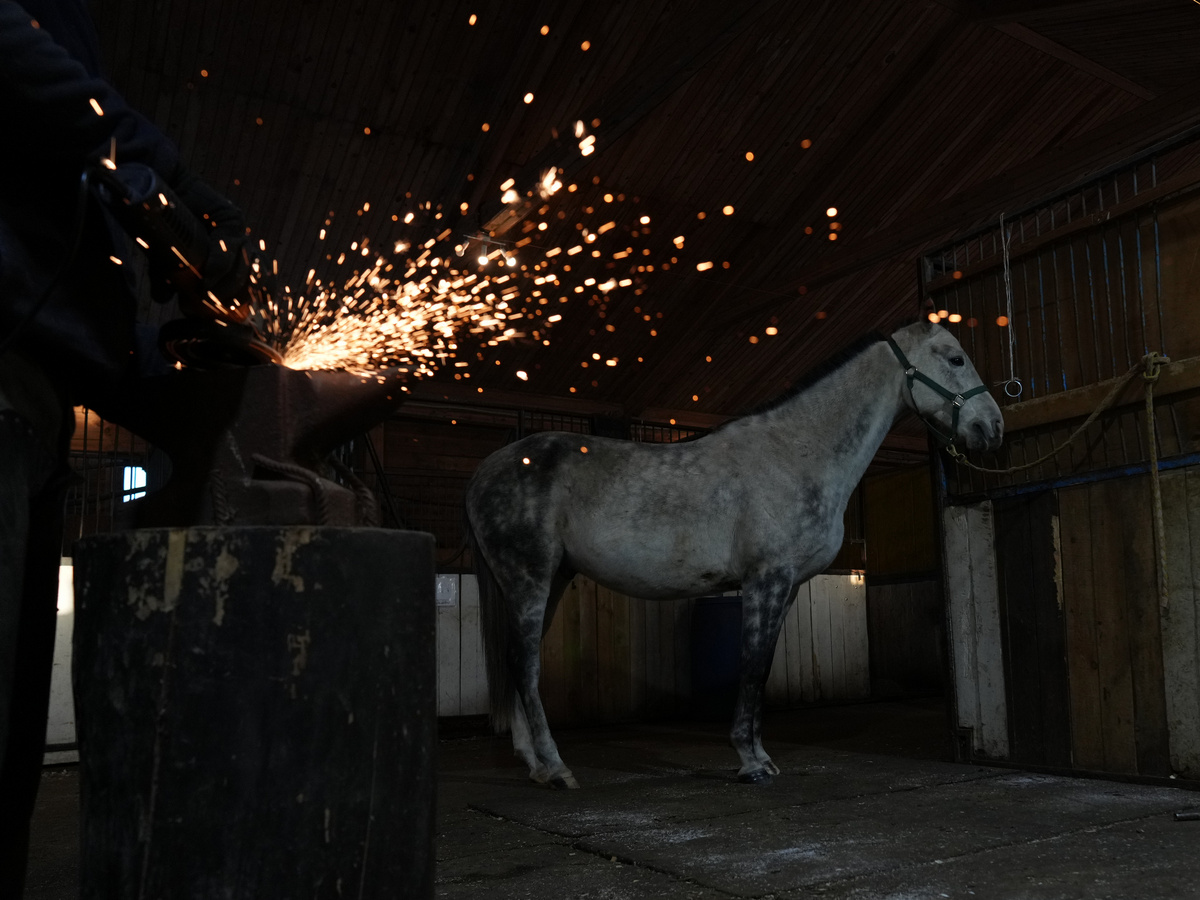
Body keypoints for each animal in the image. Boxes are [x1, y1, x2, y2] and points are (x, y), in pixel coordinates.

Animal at [468, 321, 1003, 787]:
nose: (993, 427)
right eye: (955, 358)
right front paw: (751, 762)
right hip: (530, 578)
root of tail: (486, 469)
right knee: (523, 662)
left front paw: (758, 754)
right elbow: (753, 667)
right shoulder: (766, 580)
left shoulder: (786, 588)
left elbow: (760, 668)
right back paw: (555, 767)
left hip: (552, 579)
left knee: (521, 662)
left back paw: (536, 765)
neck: (795, 452)